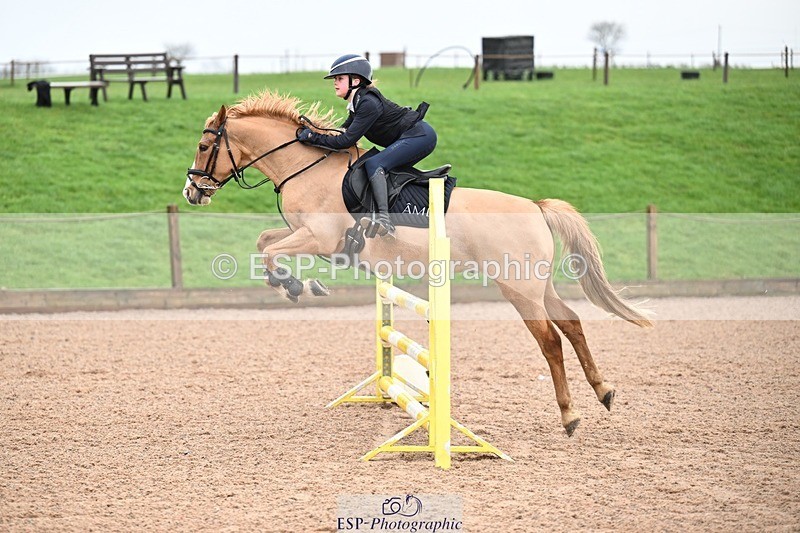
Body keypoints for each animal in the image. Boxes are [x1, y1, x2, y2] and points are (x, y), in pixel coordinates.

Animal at [182, 90, 653, 436]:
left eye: (205, 146)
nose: (192, 192)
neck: (306, 168)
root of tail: (536, 207)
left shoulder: (319, 238)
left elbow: (269, 250)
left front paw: (298, 286)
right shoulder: (310, 239)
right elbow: (264, 242)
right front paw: (293, 284)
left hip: (517, 289)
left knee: (551, 341)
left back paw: (570, 415)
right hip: (537, 285)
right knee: (572, 323)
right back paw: (604, 391)